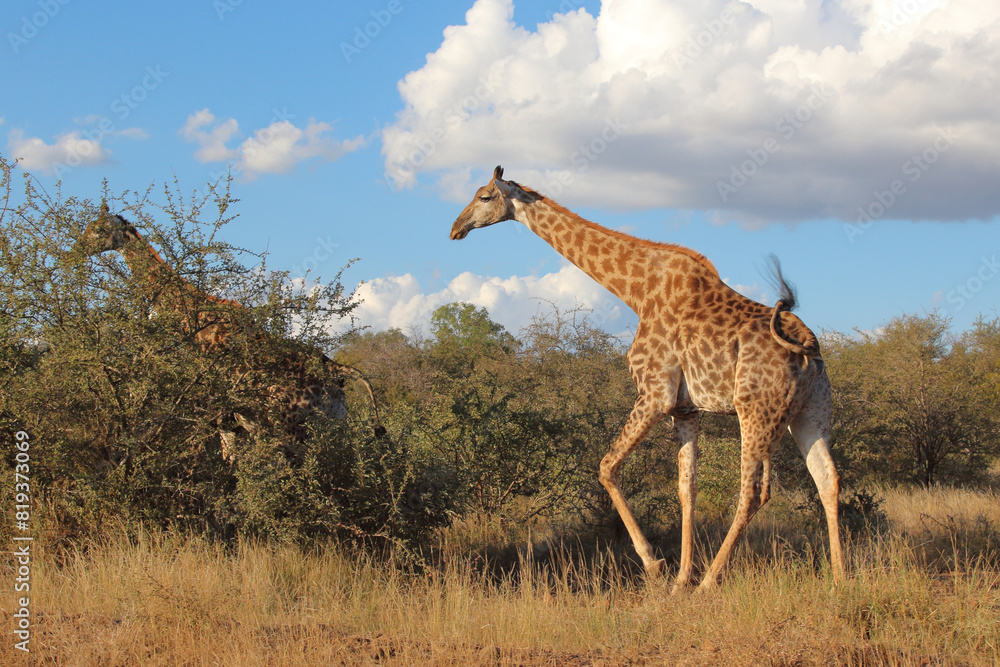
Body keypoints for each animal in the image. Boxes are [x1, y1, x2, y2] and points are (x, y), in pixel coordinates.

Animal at [76, 202, 384, 457]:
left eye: (99, 230)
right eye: (88, 228)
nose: (76, 249)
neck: (195, 319)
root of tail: (336, 370)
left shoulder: (216, 405)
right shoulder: (232, 413)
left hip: (292, 425)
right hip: (334, 422)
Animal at [450, 167, 843, 591]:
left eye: (485, 196)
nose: (455, 228)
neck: (635, 291)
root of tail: (809, 345)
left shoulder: (655, 393)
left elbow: (607, 466)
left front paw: (656, 565)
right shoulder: (685, 408)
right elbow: (687, 488)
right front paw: (680, 579)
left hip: (755, 409)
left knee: (754, 490)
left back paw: (710, 582)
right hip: (810, 412)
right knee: (827, 479)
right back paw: (840, 578)